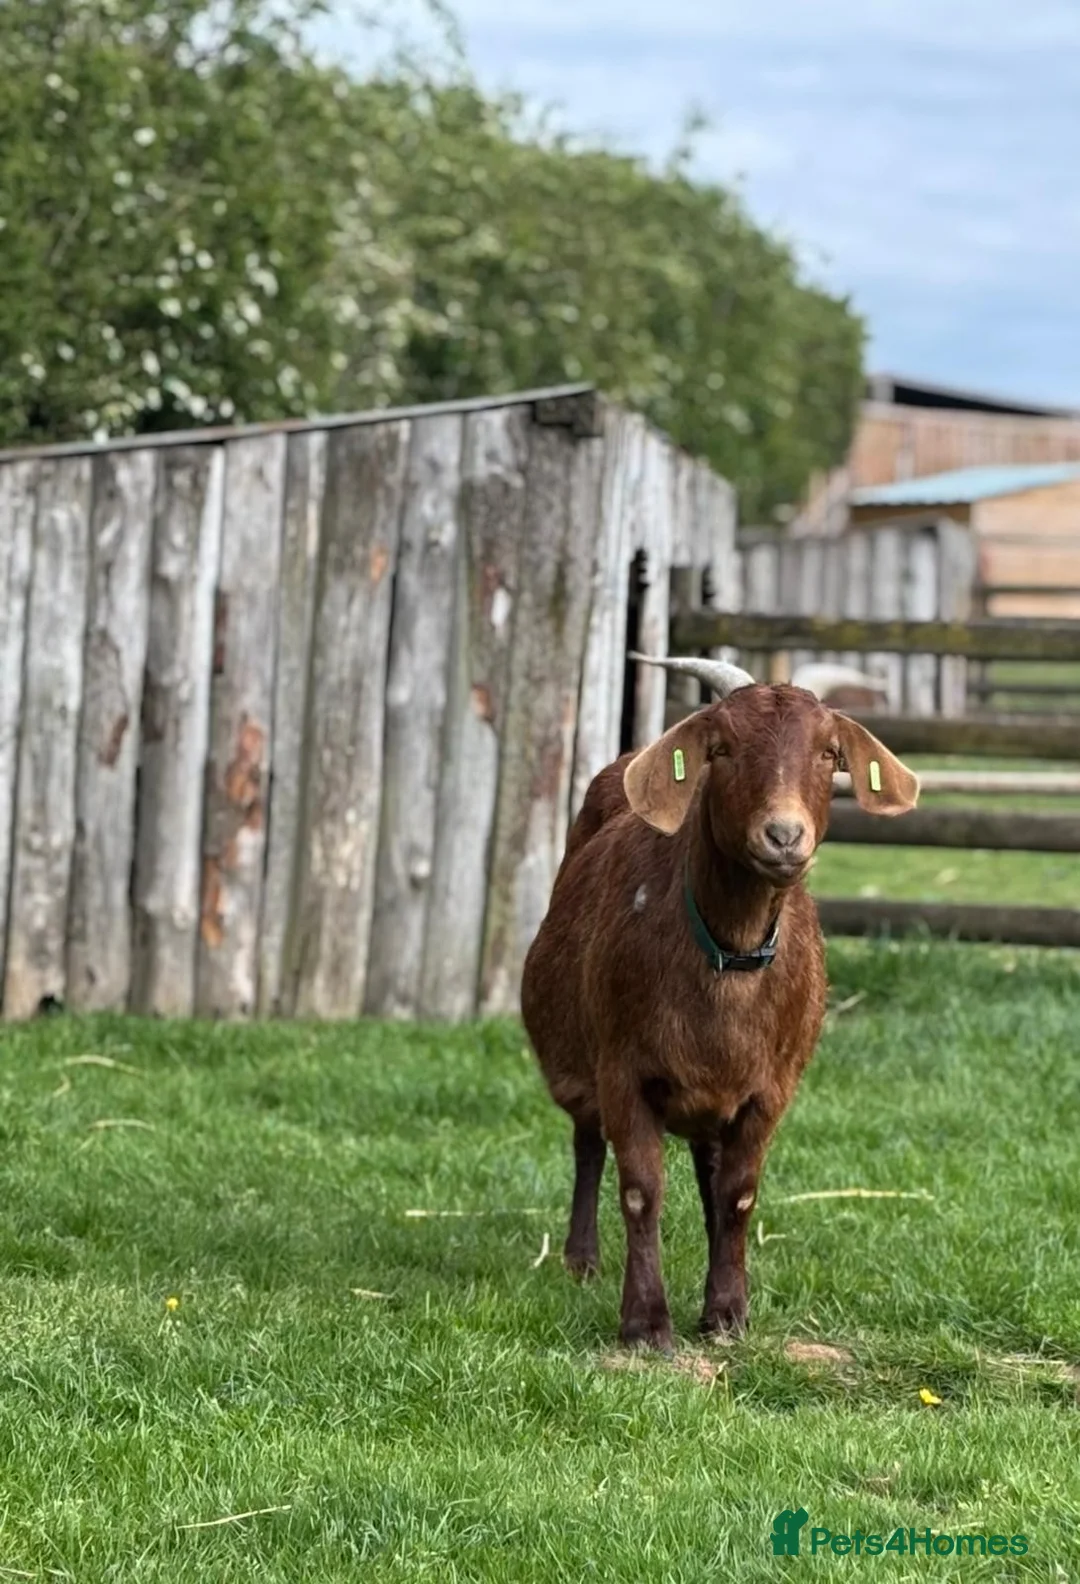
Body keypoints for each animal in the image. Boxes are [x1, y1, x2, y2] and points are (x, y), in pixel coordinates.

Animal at [521, 657, 918, 1350]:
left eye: (830, 753)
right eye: (723, 748)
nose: (784, 835)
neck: (728, 955)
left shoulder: (770, 1088)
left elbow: (736, 1195)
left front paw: (727, 1312)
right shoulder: (623, 1070)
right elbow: (640, 1190)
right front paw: (646, 1323)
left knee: (708, 1170)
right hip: (581, 1061)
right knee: (588, 1143)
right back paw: (580, 1258)